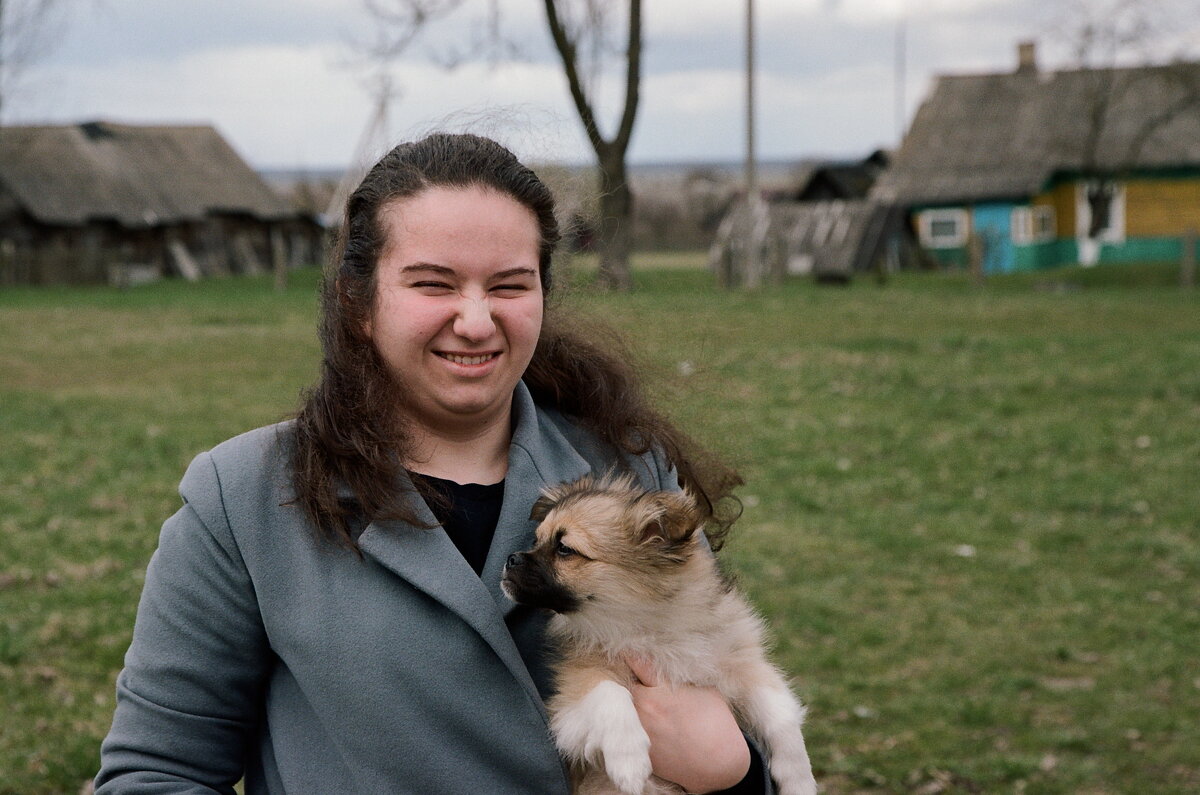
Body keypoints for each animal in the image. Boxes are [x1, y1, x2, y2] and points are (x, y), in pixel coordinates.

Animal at [496, 475, 816, 792]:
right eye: (536, 540)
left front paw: (799, 779)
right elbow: (611, 692)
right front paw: (629, 761)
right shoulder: (578, 681)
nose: (511, 559)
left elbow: (782, 716)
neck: (649, 627)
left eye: (564, 549)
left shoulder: (742, 665)